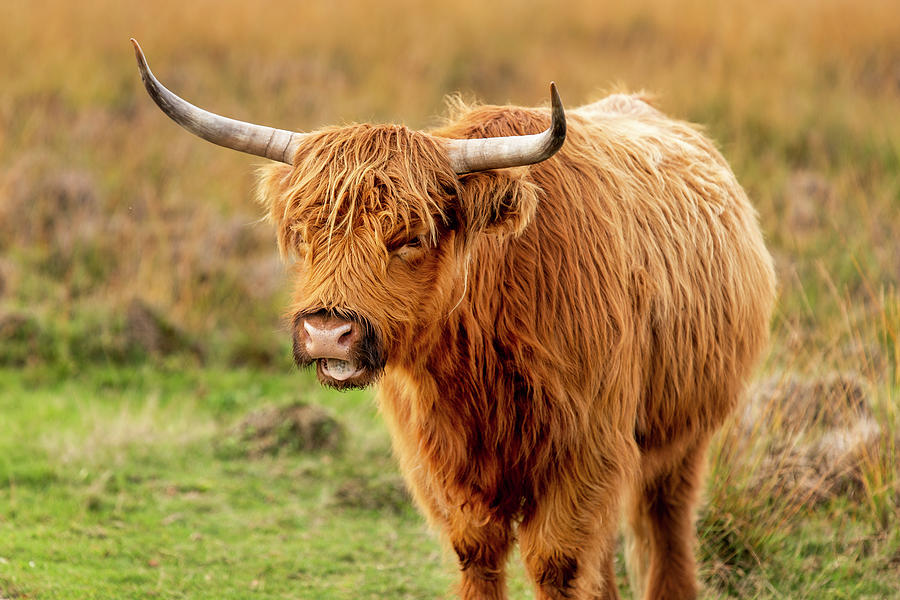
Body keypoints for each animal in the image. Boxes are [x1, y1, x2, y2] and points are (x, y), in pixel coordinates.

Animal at [132, 38, 772, 600]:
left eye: (411, 237)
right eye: (307, 233)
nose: (327, 333)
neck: (478, 360)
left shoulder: (587, 451)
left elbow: (558, 564)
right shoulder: (439, 463)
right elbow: (478, 554)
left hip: (683, 435)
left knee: (665, 529)